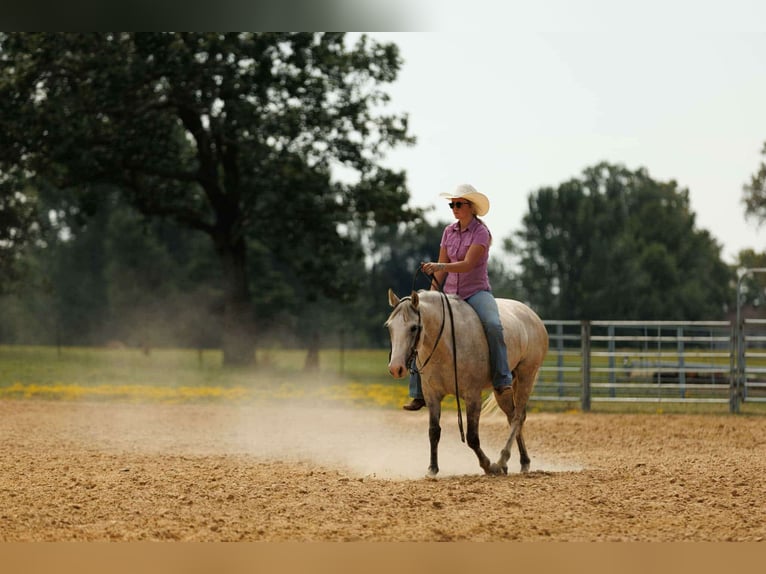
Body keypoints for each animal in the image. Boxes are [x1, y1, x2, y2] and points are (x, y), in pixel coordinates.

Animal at [386, 288, 548, 477]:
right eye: (389, 327)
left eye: (413, 327)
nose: (395, 368)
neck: (446, 345)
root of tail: (532, 315)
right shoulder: (432, 395)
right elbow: (434, 431)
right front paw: (432, 469)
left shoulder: (473, 396)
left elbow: (472, 437)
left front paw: (488, 465)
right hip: (503, 390)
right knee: (512, 416)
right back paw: (521, 462)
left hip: (526, 376)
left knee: (518, 417)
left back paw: (501, 461)